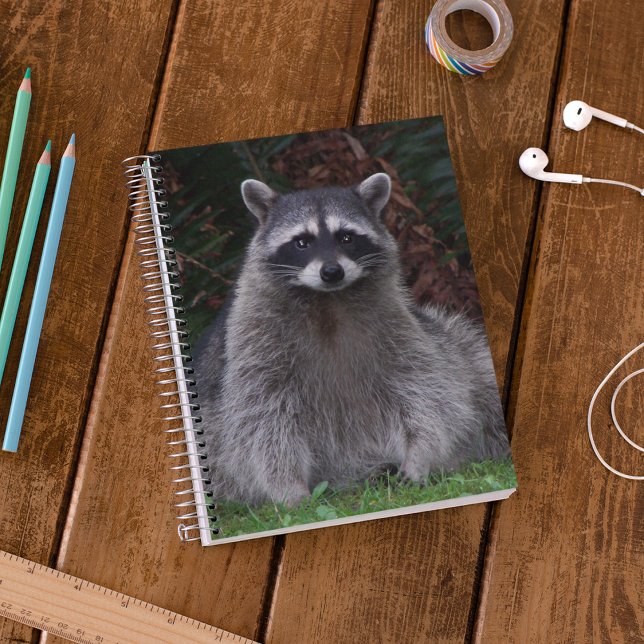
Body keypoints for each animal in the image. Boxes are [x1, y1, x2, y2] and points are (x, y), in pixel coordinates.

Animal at [195, 173, 509, 506]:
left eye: (346, 237)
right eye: (301, 242)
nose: (332, 271)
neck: (328, 300)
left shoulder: (398, 323)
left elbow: (423, 388)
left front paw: (419, 452)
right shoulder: (252, 340)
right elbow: (262, 416)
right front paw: (288, 484)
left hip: (454, 343)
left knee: (476, 372)